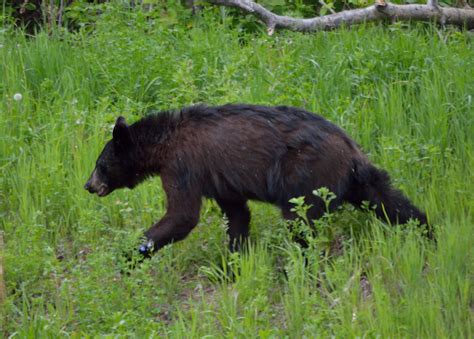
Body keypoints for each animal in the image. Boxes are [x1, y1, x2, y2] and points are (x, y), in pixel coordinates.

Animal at [83, 105, 432, 256]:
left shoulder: (183, 167)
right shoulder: (221, 181)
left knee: (301, 222)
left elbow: (182, 215)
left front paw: (131, 253)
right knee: (389, 200)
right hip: (358, 180)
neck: (163, 143)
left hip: (304, 178)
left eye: (100, 164)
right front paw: (236, 258)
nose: (88, 185)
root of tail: (349, 148)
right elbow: (237, 214)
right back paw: (428, 232)